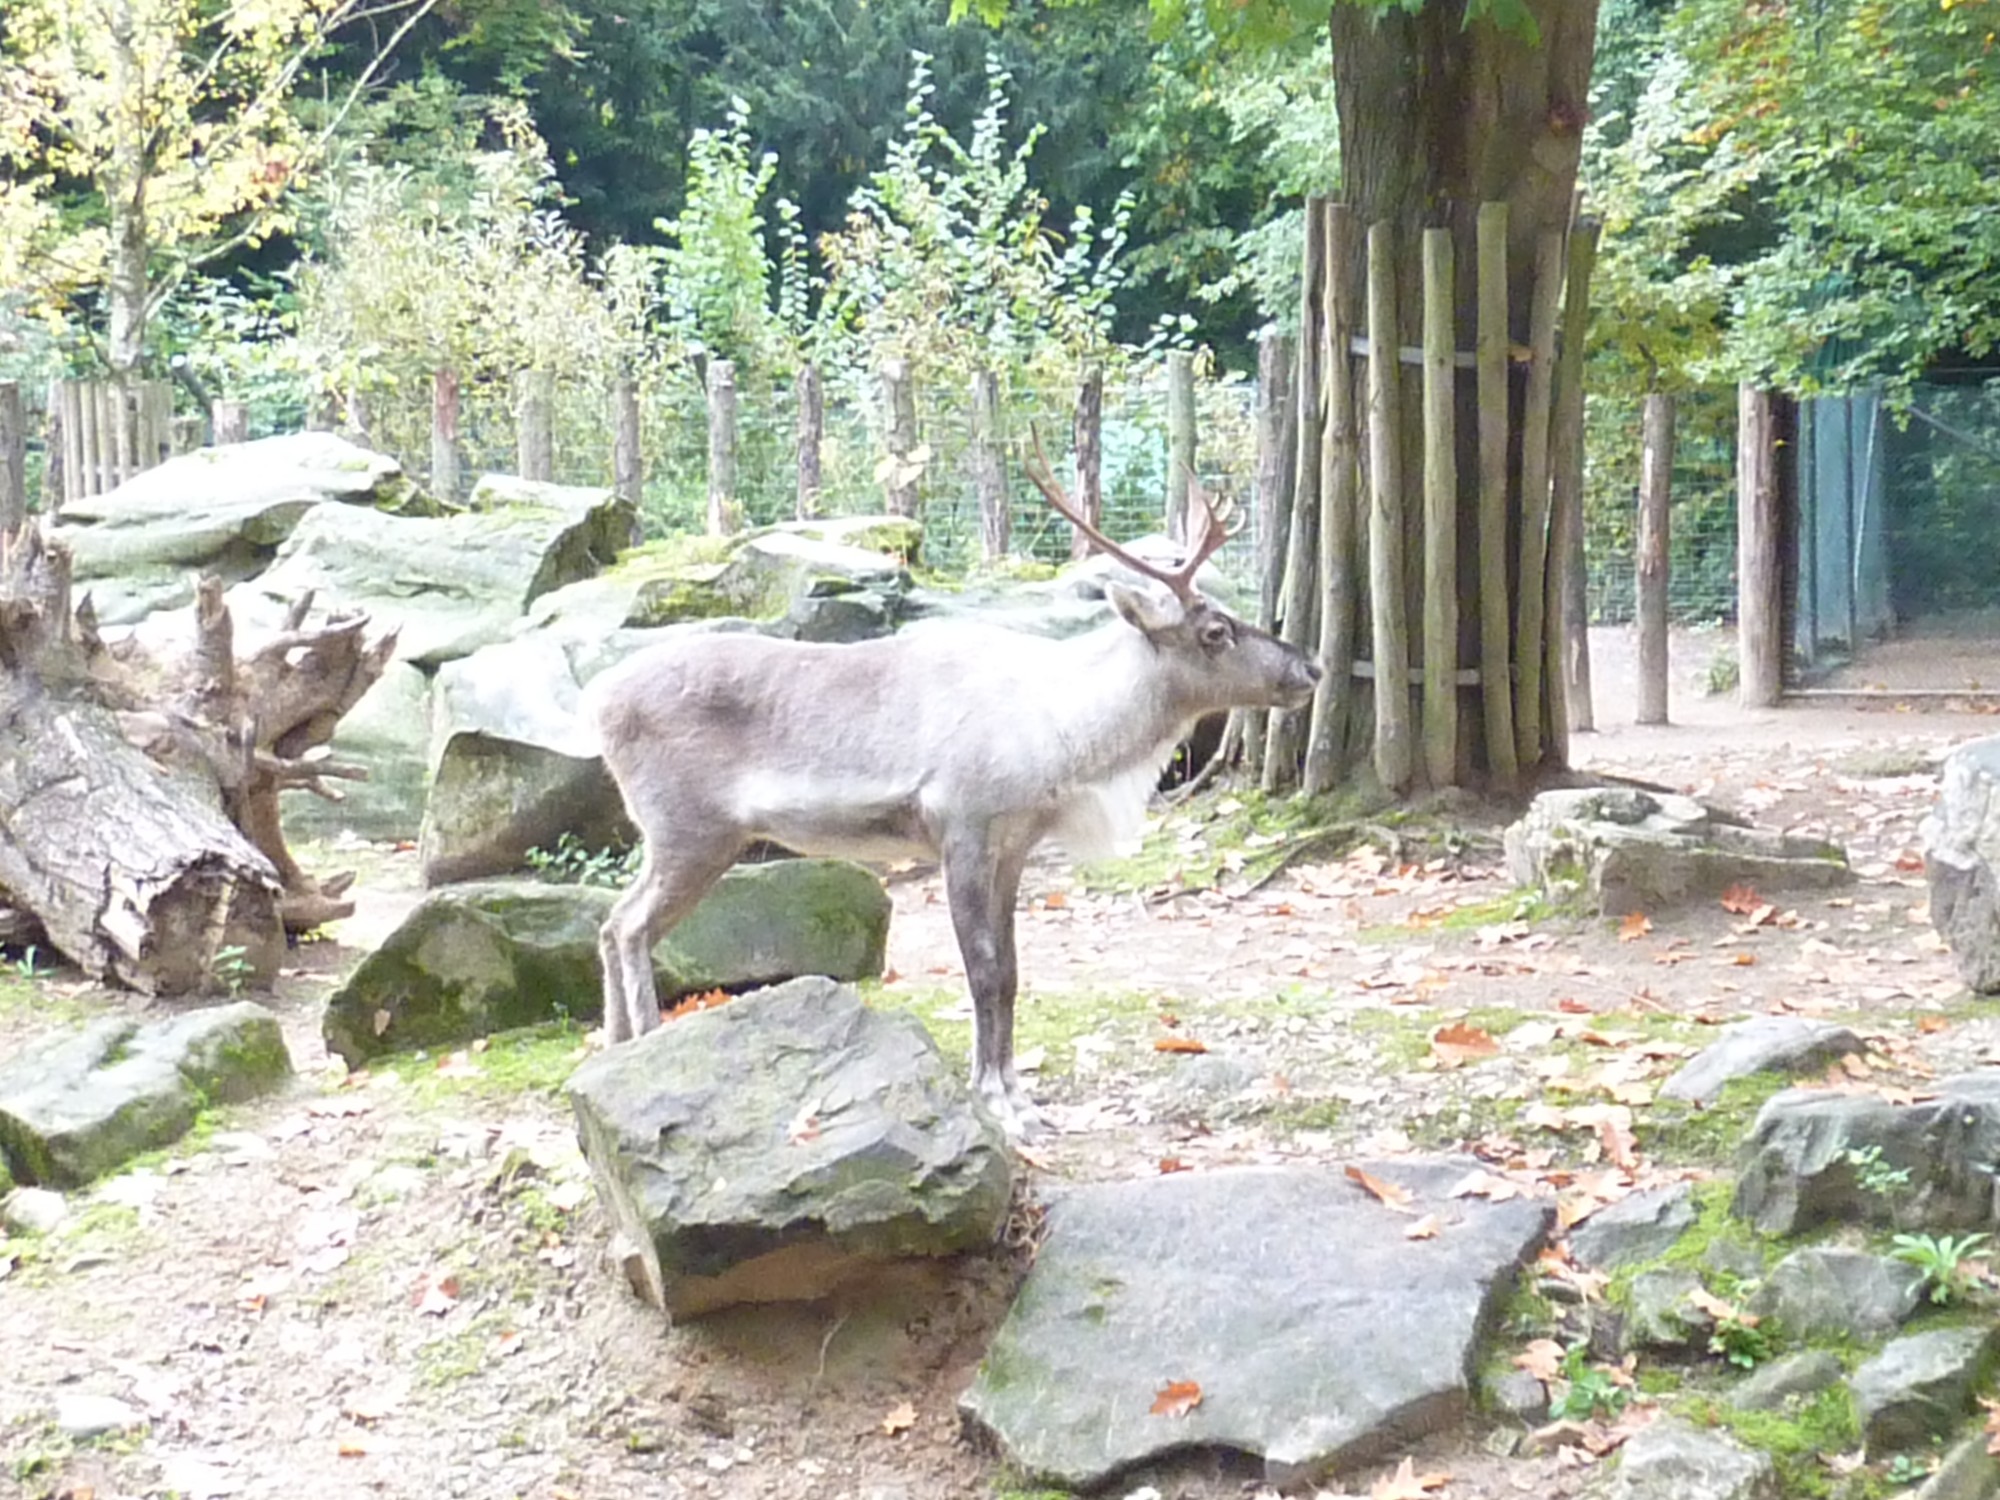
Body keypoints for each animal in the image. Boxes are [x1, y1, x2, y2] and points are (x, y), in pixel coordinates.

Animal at [586, 438, 1322, 1136]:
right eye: (1216, 630)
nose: (1310, 668)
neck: (1062, 732)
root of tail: (597, 701)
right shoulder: (962, 827)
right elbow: (984, 969)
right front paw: (996, 1100)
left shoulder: (1015, 844)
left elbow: (1014, 971)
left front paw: (1023, 1099)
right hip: (690, 830)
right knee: (629, 925)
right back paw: (644, 1044)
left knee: (611, 923)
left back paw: (613, 1049)